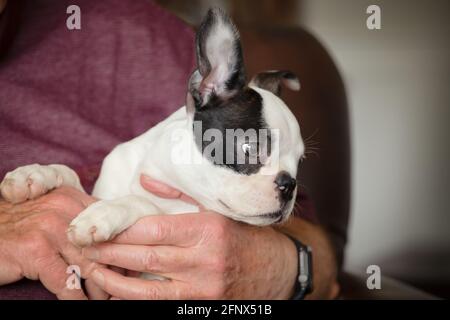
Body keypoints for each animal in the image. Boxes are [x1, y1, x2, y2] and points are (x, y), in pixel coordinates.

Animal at [0, 7, 306, 248]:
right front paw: (34, 175)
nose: (289, 184)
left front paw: (105, 213)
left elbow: (146, 204)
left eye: (299, 163)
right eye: (248, 148)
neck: (157, 174)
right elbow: (71, 175)